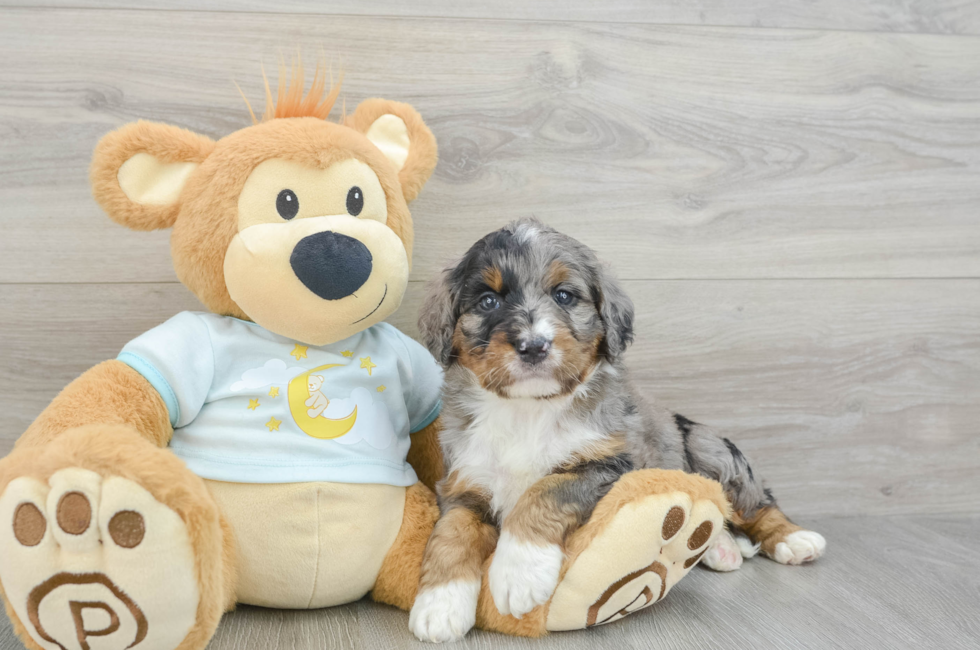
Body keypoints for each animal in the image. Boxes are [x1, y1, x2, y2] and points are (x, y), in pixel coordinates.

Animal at [410, 218, 824, 636]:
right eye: (488, 301)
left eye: (564, 295)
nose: (534, 346)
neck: (528, 410)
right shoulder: (465, 482)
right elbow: (452, 533)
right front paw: (439, 605)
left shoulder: (612, 464)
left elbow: (547, 489)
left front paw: (519, 573)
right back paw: (722, 547)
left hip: (710, 450)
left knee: (758, 502)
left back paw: (794, 539)